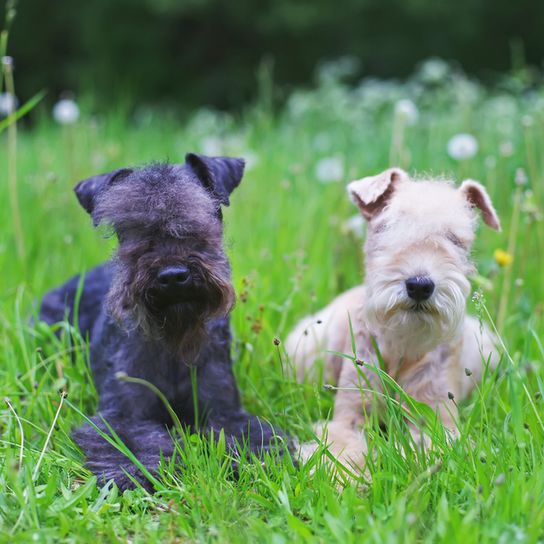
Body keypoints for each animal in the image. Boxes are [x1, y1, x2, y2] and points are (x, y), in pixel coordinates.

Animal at [40, 153, 282, 488]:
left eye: (204, 214)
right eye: (130, 228)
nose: (173, 276)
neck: (175, 341)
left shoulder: (224, 410)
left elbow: (249, 436)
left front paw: (257, 463)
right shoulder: (125, 415)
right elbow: (133, 442)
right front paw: (132, 472)